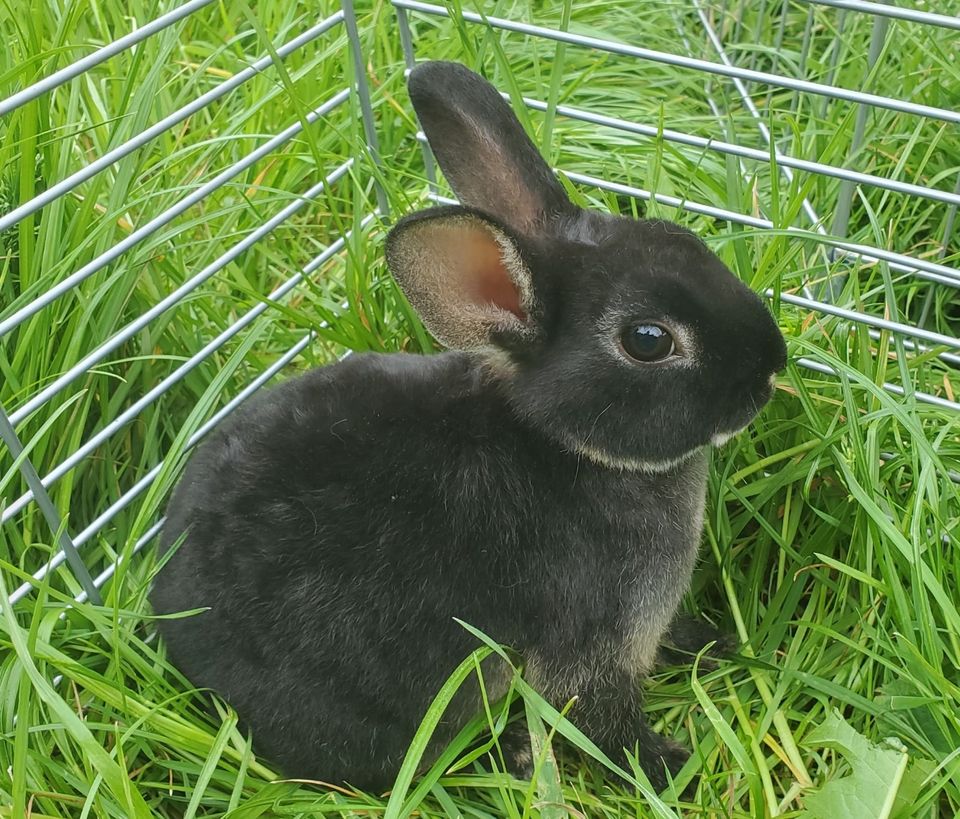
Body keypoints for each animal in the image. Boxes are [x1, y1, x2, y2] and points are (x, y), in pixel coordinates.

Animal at [152, 59, 788, 796]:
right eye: (648, 340)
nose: (771, 368)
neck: (570, 445)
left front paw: (713, 642)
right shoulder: (591, 639)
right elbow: (596, 714)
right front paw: (667, 767)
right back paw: (511, 754)